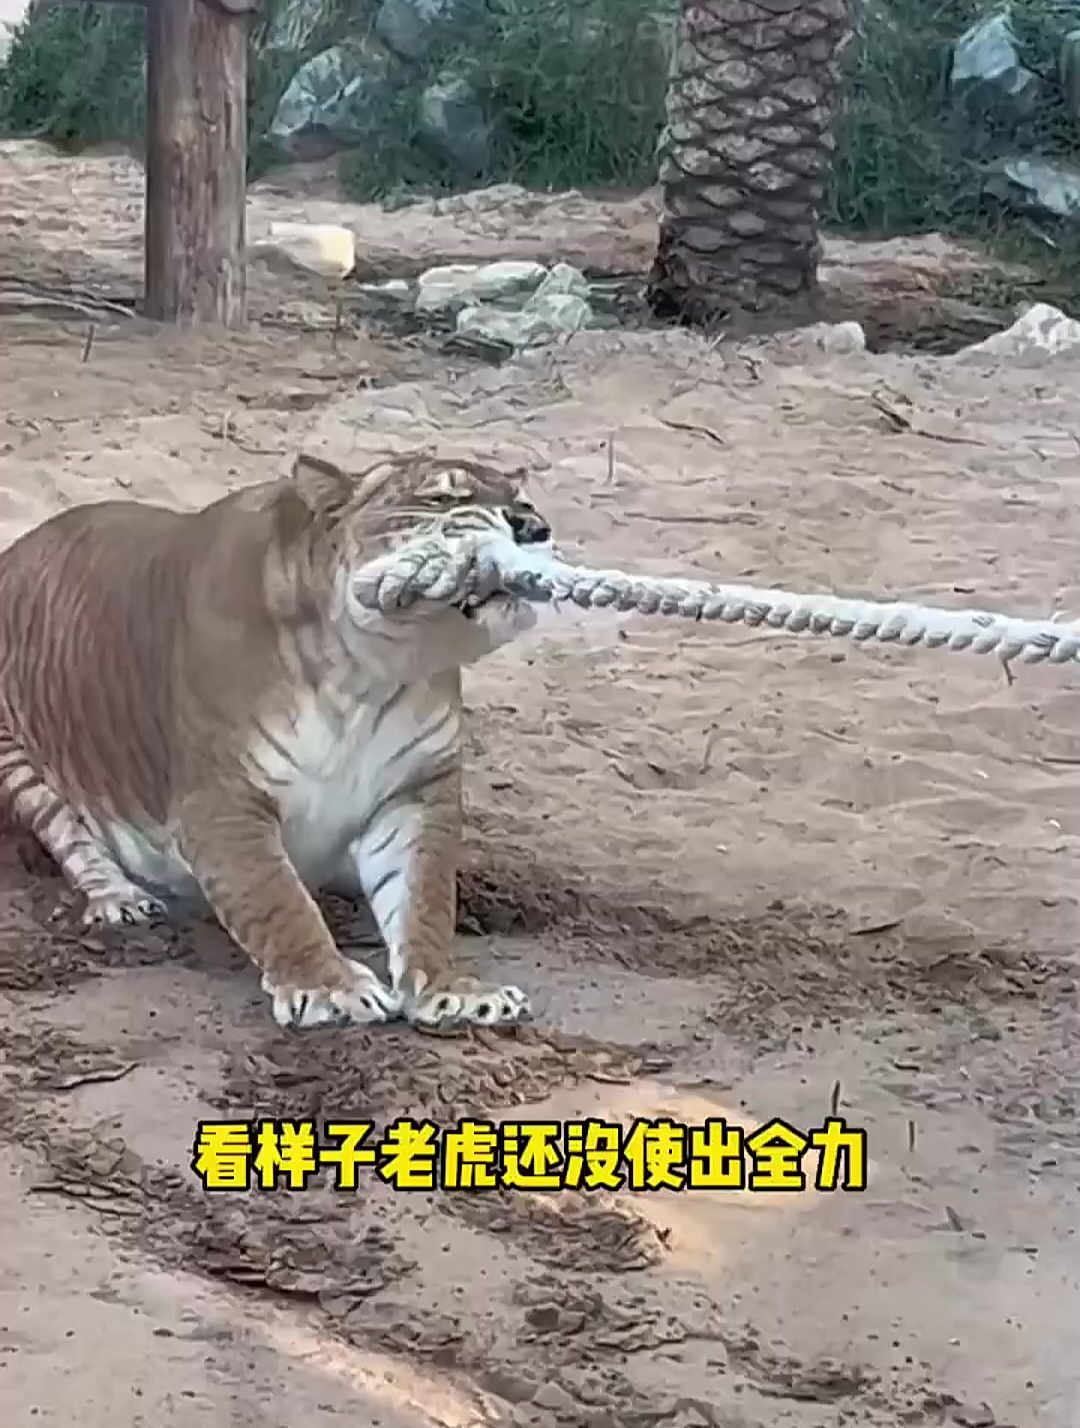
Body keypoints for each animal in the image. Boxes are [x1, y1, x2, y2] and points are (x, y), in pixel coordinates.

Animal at [0, 450, 553, 1034]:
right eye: (443, 498)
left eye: (524, 501)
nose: (535, 528)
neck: (368, 674)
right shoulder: (223, 803)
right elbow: (278, 902)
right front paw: (331, 988)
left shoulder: (419, 793)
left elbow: (424, 899)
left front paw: (451, 991)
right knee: (70, 837)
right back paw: (123, 901)